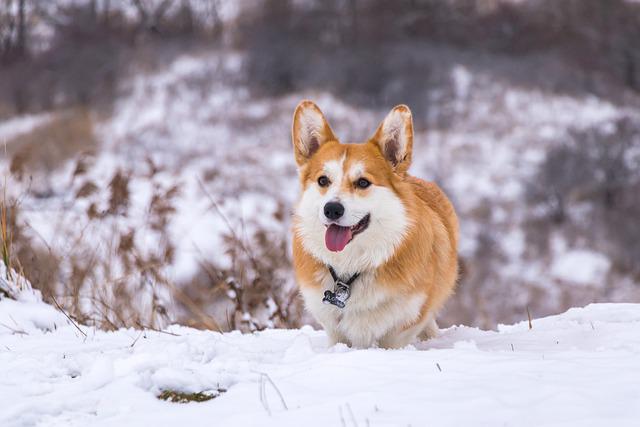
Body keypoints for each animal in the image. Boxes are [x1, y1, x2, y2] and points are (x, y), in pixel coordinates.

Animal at [290, 102, 460, 350]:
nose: (332, 209)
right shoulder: (334, 329)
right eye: (323, 180)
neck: (351, 268)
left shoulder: (401, 326)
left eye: (363, 183)